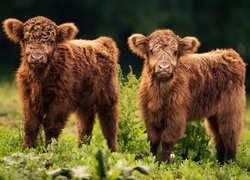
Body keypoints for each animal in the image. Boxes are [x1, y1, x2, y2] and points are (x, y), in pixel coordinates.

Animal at [1, 16, 119, 151]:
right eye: (25, 39)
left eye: (52, 41)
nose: (37, 57)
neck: (40, 77)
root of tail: (102, 42)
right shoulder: (27, 97)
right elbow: (30, 125)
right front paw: (26, 149)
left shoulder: (61, 100)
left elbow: (51, 126)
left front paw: (49, 151)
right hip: (85, 102)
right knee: (85, 126)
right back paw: (81, 150)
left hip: (108, 98)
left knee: (109, 126)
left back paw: (113, 151)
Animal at [129, 29, 246, 163]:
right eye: (151, 50)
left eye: (175, 51)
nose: (164, 68)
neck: (159, 93)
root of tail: (229, 53)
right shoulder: (150, 116)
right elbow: (152, 141)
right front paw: (153, 161)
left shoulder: (176, 117)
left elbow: (166, 141)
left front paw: (164, 163)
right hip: (214, 115)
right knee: (219, 139)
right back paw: (221, 164)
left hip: (231, 112)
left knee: (230, 137)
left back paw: (230, 165)